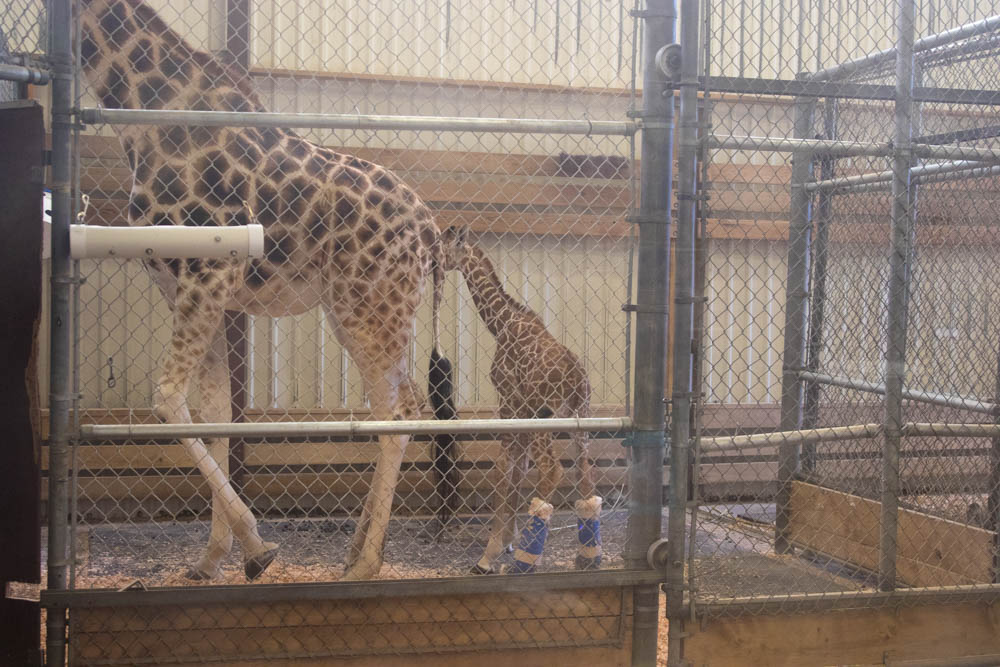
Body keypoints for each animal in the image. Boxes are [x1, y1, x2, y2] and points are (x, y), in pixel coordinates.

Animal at [444, 227, 600, 572]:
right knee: (583, 470)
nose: (433, 262)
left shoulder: (510, 400)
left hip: (547, 417)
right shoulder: (523, 408)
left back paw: (526, 561)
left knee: (552, 468)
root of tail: (575, 380)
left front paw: (490, 554)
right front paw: (508, 541)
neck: (501, 322)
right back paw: (589, 556)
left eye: (442, 245)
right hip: (580, 420)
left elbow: (506, 467)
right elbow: (519, 468)